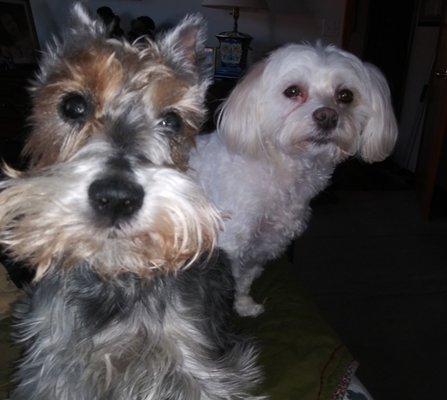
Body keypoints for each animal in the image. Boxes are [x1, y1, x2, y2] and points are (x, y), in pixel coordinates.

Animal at [0, 3, 264, 400]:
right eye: (73, 106)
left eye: (172, 120)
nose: (116, 198)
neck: (114, 277)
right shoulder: (54, 368)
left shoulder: (195, 364)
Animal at [189, 43, 400, 316]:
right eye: (292, 91)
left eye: (345, 95)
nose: (327, 116)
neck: (279, 168)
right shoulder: (228, 246)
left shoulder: (262, 248)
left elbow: (244, 280)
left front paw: (244, 306)